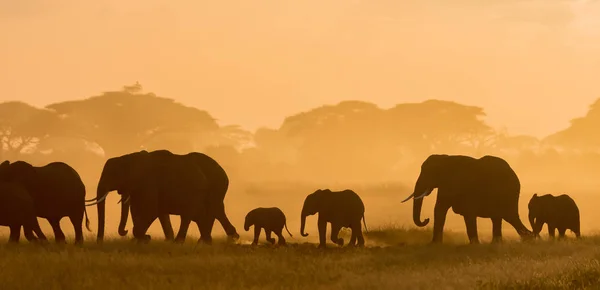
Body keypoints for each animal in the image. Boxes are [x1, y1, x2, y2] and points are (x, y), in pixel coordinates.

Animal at [400, 154, 532, 245]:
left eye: (430, 172)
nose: (426, 219)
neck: (446, 159)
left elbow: (468, 213)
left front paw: (475, 245)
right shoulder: (445, 185)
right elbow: (440, 209)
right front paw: (434, 245)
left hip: (508, 194)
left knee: (509, 216)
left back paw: (529, 238)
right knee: (499, 217)